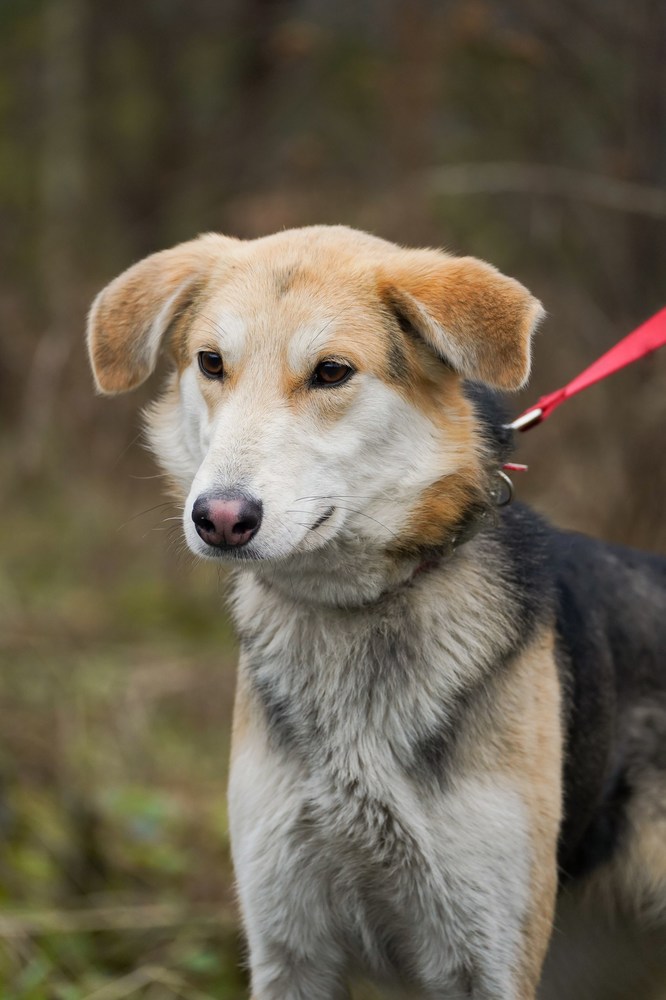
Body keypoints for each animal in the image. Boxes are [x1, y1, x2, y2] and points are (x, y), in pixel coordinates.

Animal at [87, 226, 666, 999]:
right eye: (212, 362)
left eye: (331, 372)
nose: (220, 518)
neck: (353, 611)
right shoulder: (289, 944)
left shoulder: (487, 956)